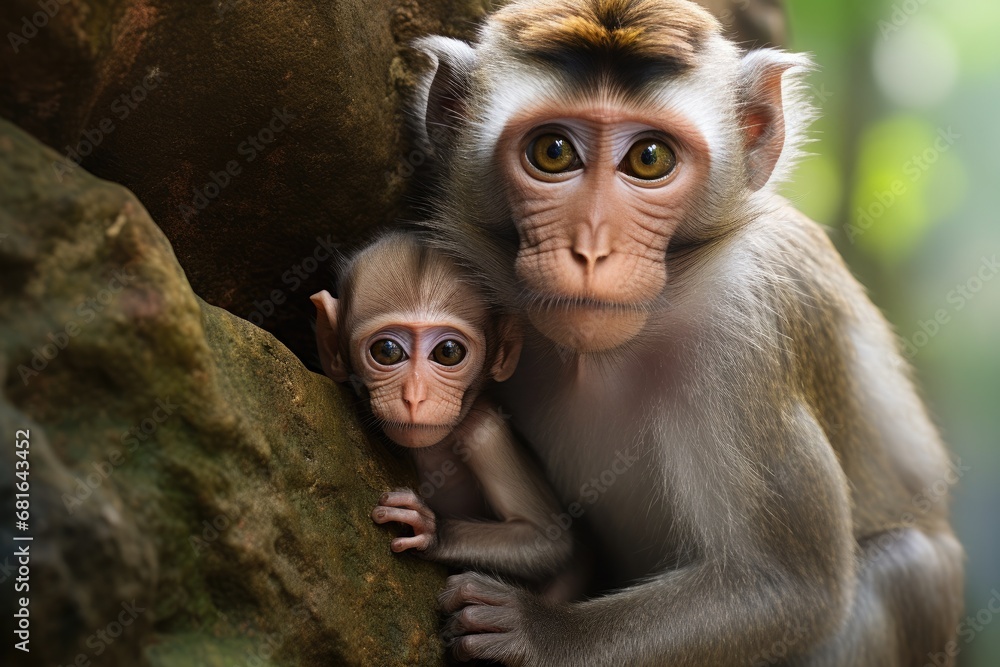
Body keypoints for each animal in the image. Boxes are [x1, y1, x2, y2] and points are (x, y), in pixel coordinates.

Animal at [310, 232, 574, 583]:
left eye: (448, 352)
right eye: (387, 350)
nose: (415, 396)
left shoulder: (485, 429)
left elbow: (547, 539)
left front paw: (429, 530)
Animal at [407, 1, 965, 664]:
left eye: (649, 159)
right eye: (552, 151)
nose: (591, 248)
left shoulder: (744, 329)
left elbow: (789, 586)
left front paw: (541, 631)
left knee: (900, 569)